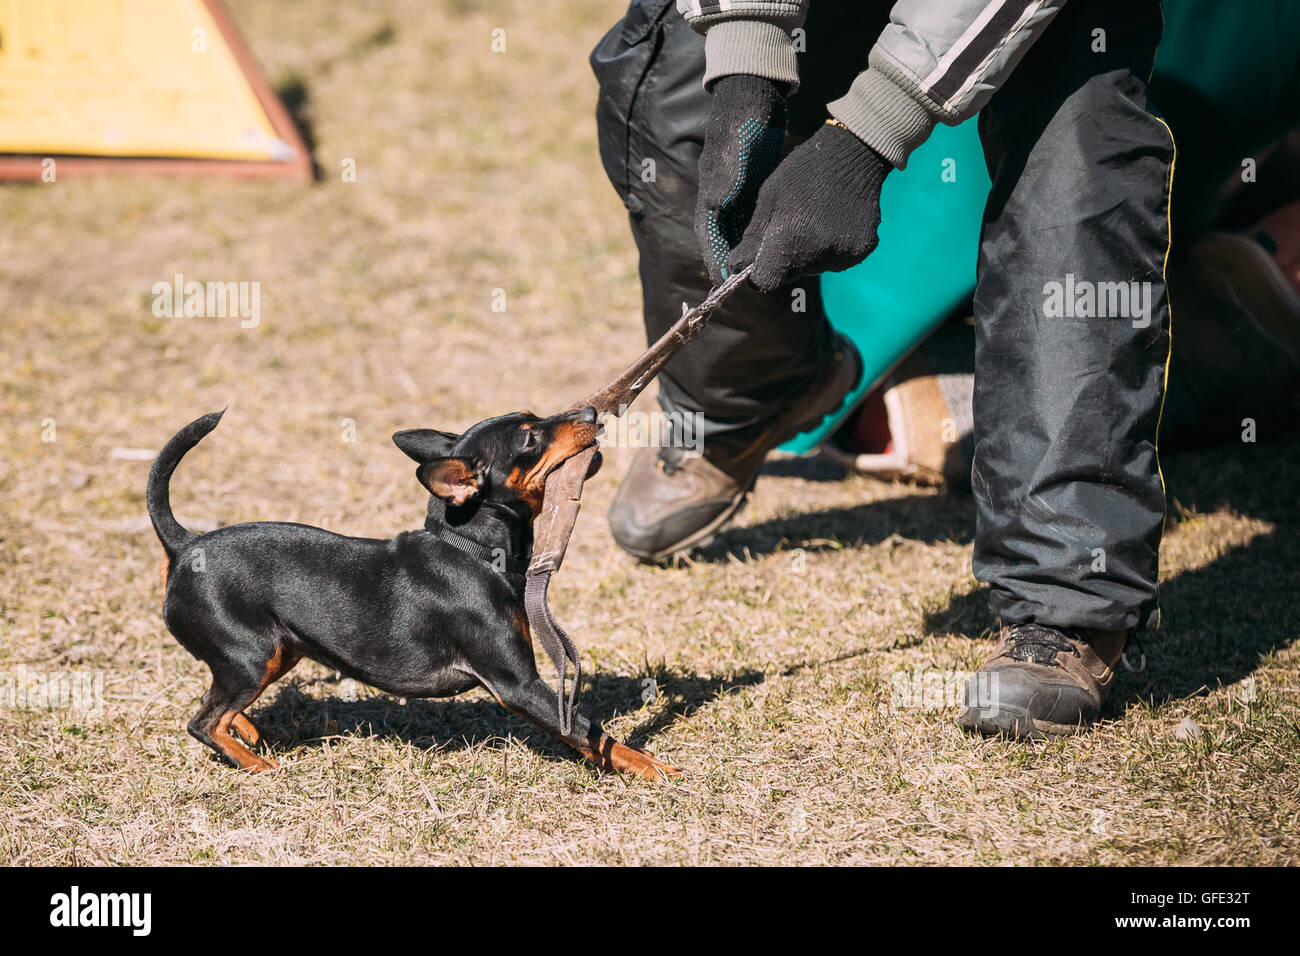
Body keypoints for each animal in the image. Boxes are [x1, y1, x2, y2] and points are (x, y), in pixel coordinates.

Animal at [147, 408, 681, 780]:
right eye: (531, 437)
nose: (591, 412)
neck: (471, 549)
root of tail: (185, 544)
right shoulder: (520, 685)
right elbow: (593, 734)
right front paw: (653, 767)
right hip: (253, 656)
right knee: (204, 722)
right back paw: (260, 766)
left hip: (279, 652)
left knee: (221, 709)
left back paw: (253, 735)